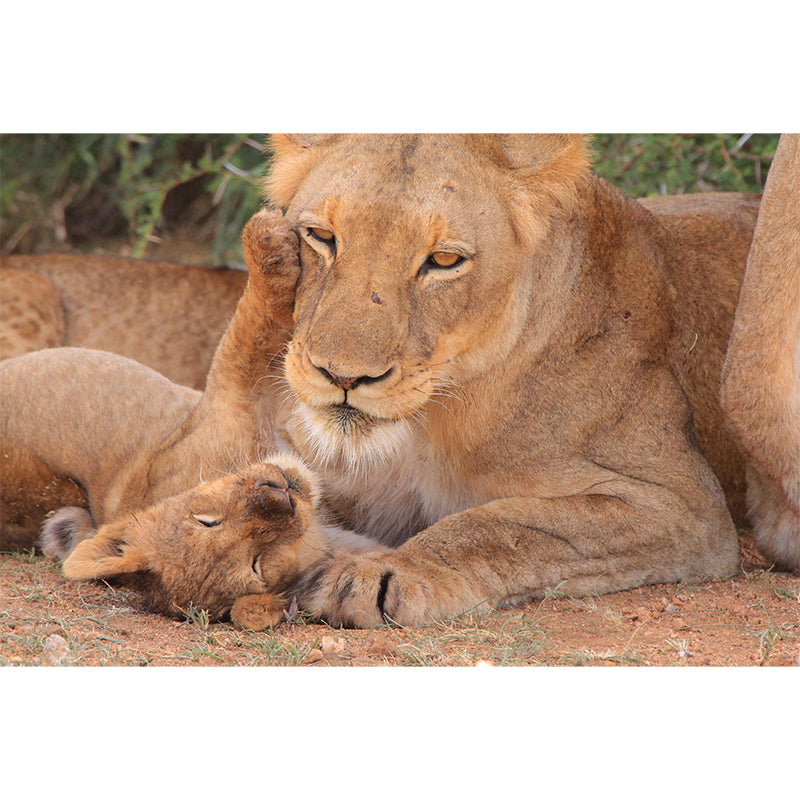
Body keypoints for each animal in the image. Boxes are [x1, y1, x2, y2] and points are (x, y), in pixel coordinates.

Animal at [247, 133, 767, 628]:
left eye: (443, 260)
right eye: (321, 236)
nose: (343, 375)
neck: (429, 421)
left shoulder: (684, 505)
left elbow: (507, 526)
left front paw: (384, 573)